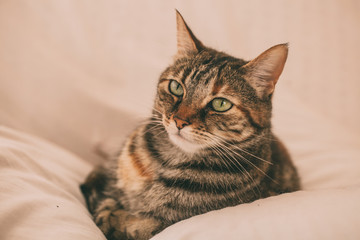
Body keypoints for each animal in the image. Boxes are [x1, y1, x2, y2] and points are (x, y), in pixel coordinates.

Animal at [81, 10, 300, 240]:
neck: (165, 162)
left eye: (220, 104)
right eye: (176, 87)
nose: (179, 121)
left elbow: (116, 219)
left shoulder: (164, 225)